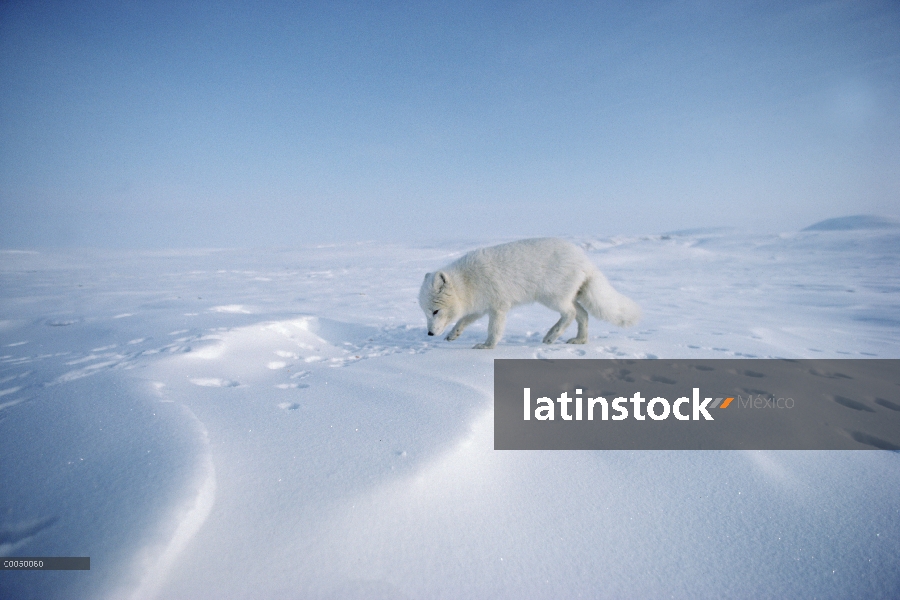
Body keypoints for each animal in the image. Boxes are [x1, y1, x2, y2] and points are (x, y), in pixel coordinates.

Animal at [420, 238, 640, 350]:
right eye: (426, 313)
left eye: (436, 311)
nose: (429, 333)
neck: (467, 282)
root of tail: (585, 260)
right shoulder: (480, 307)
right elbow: (462, 321)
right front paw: (453, 334)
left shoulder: (499, 306)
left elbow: (494, 330)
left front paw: (487, 346)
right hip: (567, 297)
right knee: (583, 314)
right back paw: (579, 340)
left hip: (552, 298)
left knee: (570, 314)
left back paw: (551, 336)